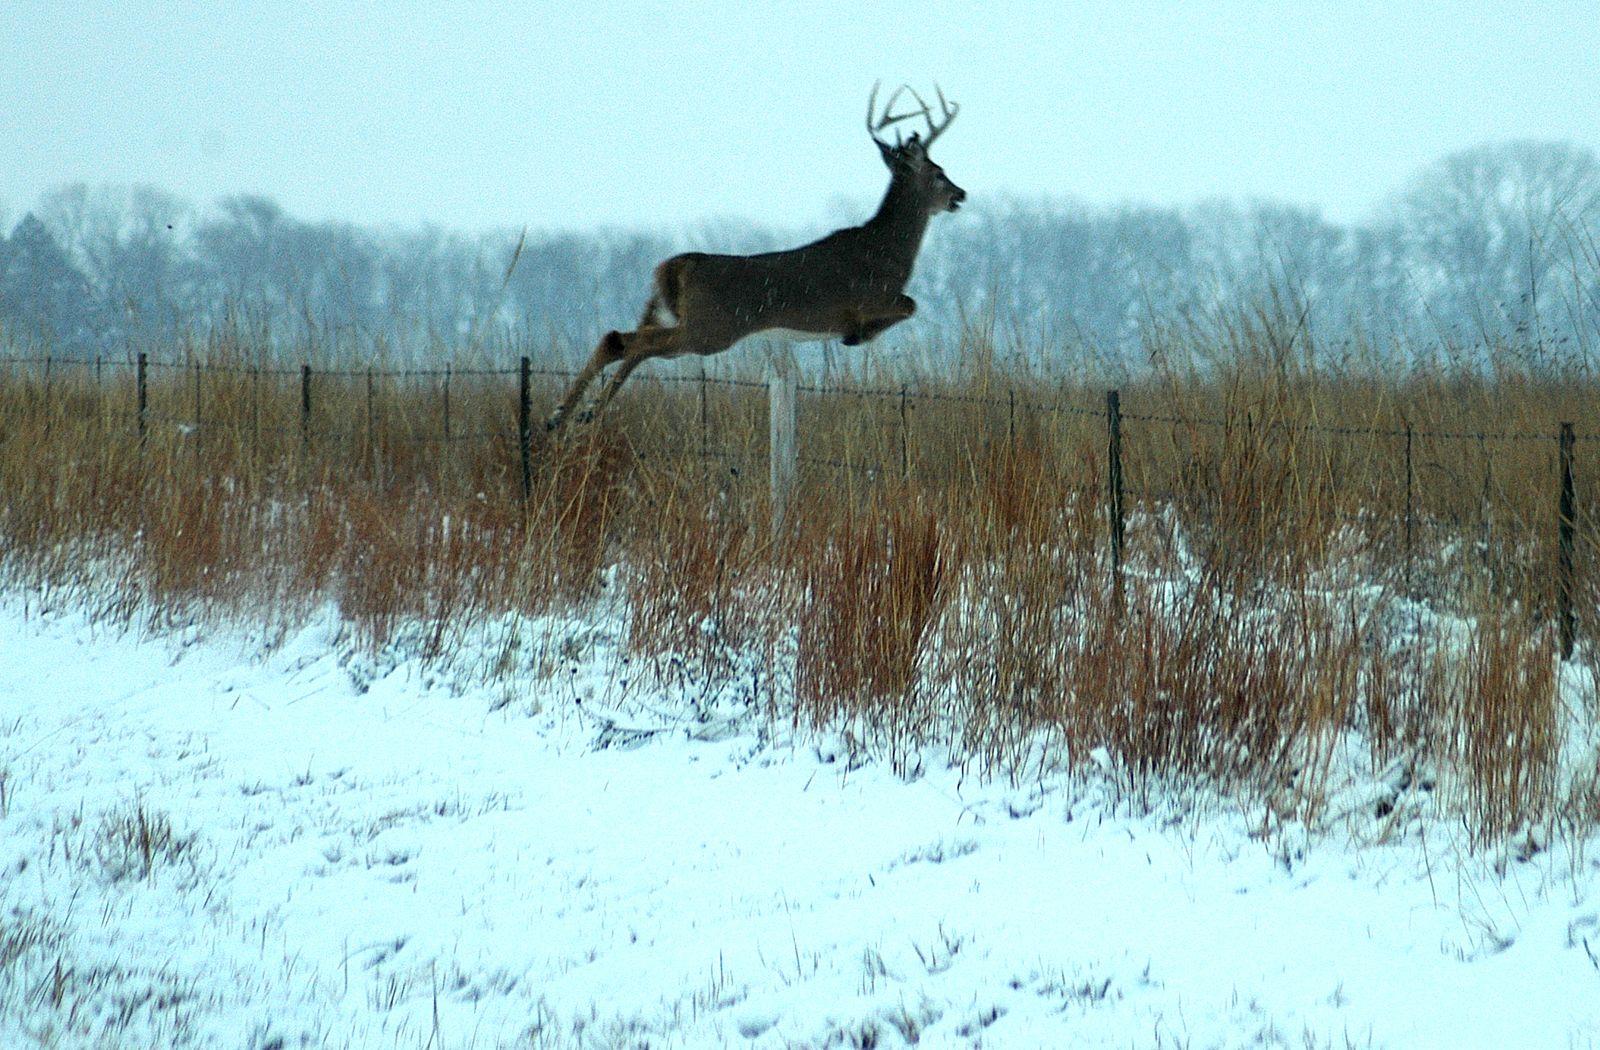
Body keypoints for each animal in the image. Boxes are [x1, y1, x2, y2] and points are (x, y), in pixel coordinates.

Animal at [546, 84, 965, 432]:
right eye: (938, 172)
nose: (960, 194)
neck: (888, 252)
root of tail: (676, 266)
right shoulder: (868, 296)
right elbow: (911, 304)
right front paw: (857, 336)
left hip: (666, 313)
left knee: (622, 341)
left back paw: (570, 414)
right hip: (710, 327)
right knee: (631, 343)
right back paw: (572, 413)